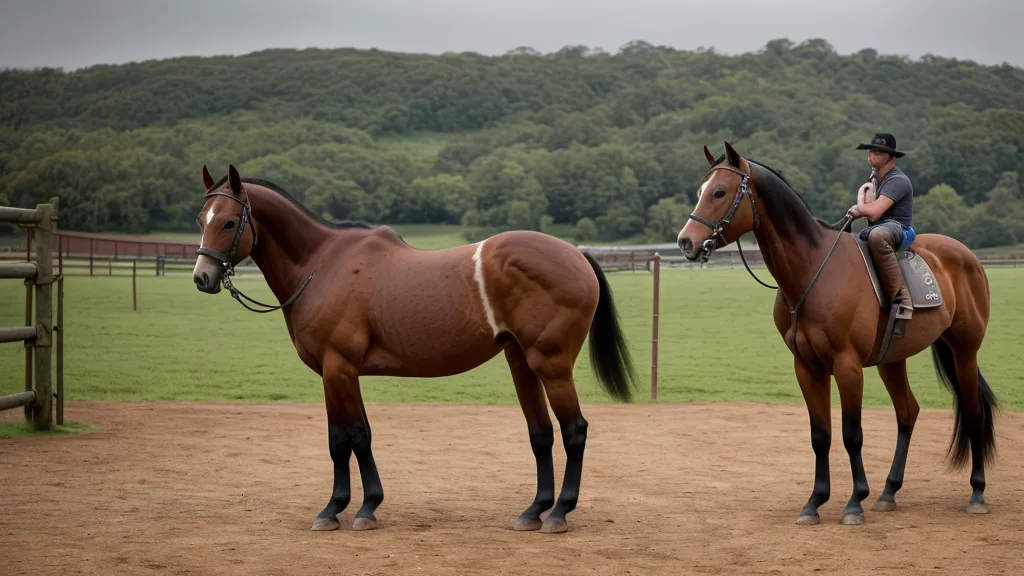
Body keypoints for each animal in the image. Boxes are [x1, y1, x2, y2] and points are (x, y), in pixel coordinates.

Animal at [191, 164, 638, 534]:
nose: (202, 277)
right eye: (200, 220)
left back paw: (560, 512)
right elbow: (340, 439)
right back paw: (535, 510)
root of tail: (575, 253)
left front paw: (361, 508)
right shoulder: (332, 373)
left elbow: (357, 436)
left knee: (574, 429)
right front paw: (336, 508)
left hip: (551, 364)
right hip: (521, 361)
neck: (323, 265)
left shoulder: (340, 367)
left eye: (229, 222)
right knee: (541, 432)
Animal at [676, 141, 998, 526]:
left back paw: (977, 492)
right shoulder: (806, 368)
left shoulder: (847, 367)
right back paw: (889, 492)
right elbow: (821, 435)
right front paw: (815, 501)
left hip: (965, 350)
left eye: (719, 192)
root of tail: (968, 257)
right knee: (907, 412)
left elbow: (851, 434)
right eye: (701, 192)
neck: (813, 269)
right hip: (893, 360)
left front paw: (854, 502)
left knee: (973, 412)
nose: (685, 242)